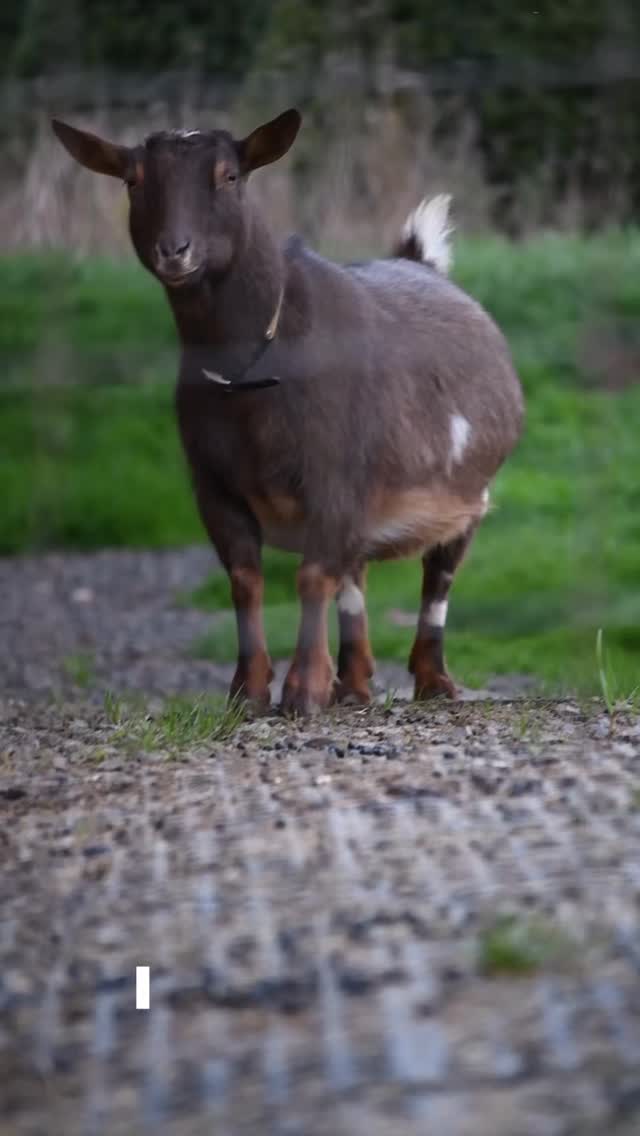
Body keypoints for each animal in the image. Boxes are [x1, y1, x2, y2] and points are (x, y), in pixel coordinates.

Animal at [52, 109, 524, 715]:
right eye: (132, 180)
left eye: (229, 175)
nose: (174, 250)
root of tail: (423, 264)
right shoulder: (214, 485)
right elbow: (247, 578)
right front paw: (249, 691)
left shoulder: (333, 475)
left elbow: (311, 576)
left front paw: (302, 691)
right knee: (355, 576)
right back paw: (354, 684)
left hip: (468, 493)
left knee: (436, 579)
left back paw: (432, 682)